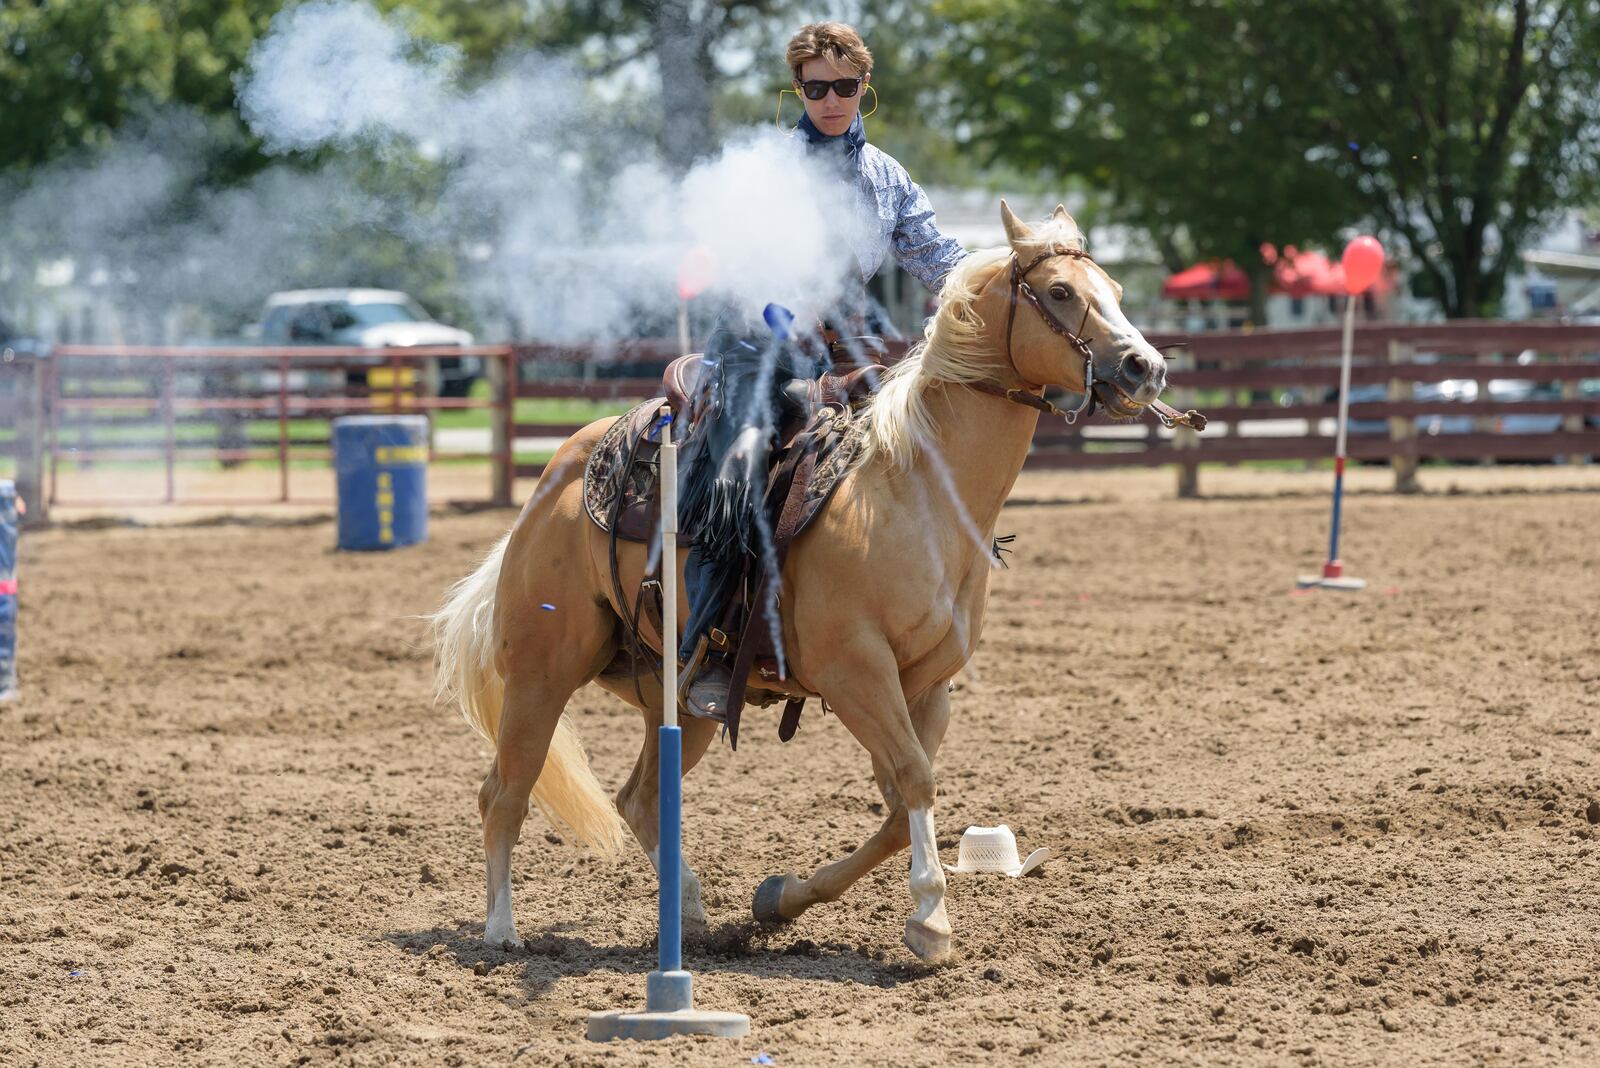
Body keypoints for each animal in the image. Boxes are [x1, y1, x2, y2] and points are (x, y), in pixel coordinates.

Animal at [432, 199, 1171, 959]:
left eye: (1115, 287)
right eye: (1060, 292)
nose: (1145, 368)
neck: (914, 491)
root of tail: (554, 479)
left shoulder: (928, 686)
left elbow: (900, 803)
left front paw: (782, 898)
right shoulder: (856, 672)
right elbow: (913, 779)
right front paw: (930, 919)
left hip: (675, 697)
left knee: (639, 797)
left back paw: (691, 914)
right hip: (541, 673)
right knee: (504, 792)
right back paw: (502, 930)